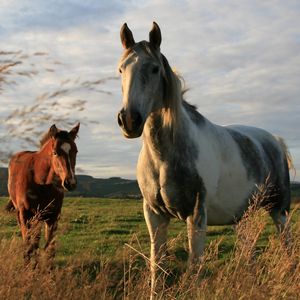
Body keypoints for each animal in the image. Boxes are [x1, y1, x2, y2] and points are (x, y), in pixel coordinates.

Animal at [7, 123, 79, 264]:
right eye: (55, 152)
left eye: (76, 151)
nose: (70, 183)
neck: (40, 181)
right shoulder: (26, 215)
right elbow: (29, 246)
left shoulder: (53, 217)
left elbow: (50, 249)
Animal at [116, 22, 290, 296]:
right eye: (121, 69)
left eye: (154, 68)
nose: (129, 120)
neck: (164, 157)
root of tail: (275, 140)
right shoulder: (154, 215)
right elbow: (157, 267)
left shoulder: (196, 215)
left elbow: (194, 267)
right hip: (243, 217)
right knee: (248, 252)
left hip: (279, 211)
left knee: (287, 245)